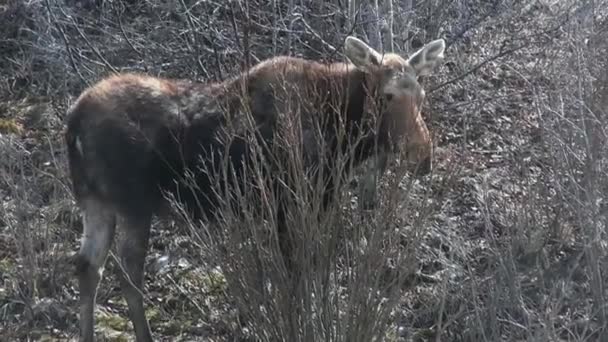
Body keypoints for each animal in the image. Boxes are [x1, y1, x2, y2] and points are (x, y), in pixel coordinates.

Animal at [66, 36, 446, 340]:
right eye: (388, 95)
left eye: (422, 93)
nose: (423, 156)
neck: (342, 134)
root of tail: (74, 120)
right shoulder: (290, 201)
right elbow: (297, 274)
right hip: (133, 205)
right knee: (127, 271)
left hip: (95, 203)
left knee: (88, 267)